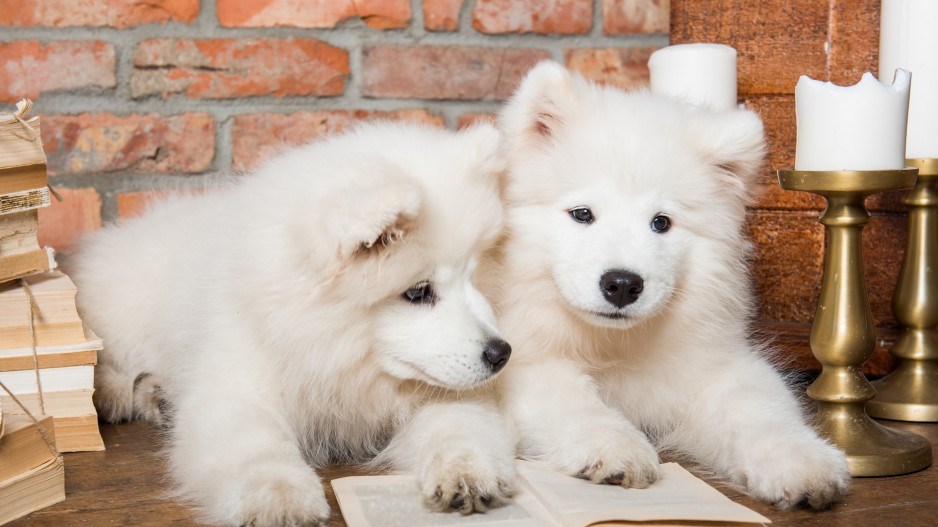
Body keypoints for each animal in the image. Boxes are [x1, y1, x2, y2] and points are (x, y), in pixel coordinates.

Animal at [69, 121, 516, 524]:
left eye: (472, 274)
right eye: (418, 292)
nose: (501, 353)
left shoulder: (435, 391)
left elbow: (458, 426)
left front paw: (467, 471)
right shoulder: (237, 388)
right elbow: (256, 446)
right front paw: (280, 499)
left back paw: (157, 395)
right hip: (124, 313)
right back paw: (117, 394)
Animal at [486, 62, 852, 512]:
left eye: (661, 223)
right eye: (582, 214)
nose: (622, 284)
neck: (613, 345)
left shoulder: (712, 366)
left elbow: (760, 408)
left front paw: (800, 463)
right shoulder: (524, 362)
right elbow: (574, 402)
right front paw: (616, 448)